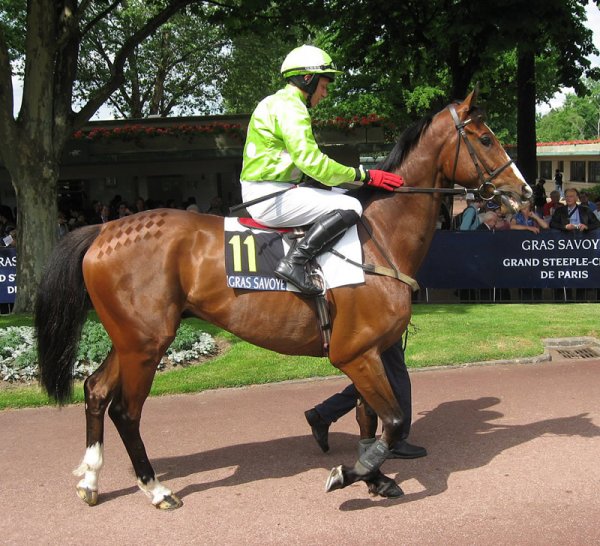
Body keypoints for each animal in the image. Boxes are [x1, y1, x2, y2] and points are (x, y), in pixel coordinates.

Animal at [36, 89, 528, 506]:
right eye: (486, 138)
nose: (522, 192)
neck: (379, 237)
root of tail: (105, 230)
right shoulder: (355, 353)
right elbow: (390, 420)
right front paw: (348, 475)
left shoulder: (370, 351)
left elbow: (370, 419)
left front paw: (375, 478)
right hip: (146, 343)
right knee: (126, 410)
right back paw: (156, 488)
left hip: (130, 339)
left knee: (97, 390)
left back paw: (91, 479)